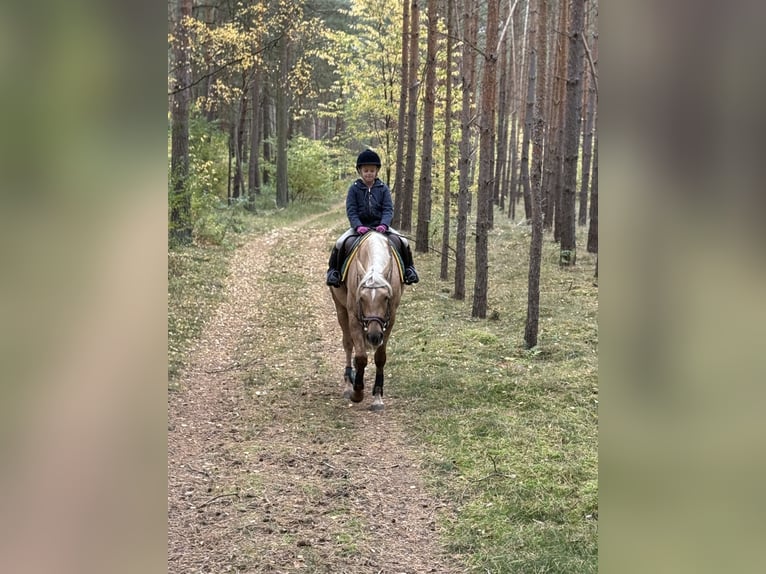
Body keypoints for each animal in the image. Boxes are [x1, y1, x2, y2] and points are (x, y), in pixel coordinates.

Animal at [329, 231, 404, 411]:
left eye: (386, 298)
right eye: (361, 298)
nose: (374, 336)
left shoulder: (390, 320)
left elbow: (380, 357)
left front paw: (377, 397)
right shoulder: (354, 318)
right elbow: (361, 356)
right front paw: (357, 393)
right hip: (341, 309)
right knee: (348, 344)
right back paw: (348, 384)